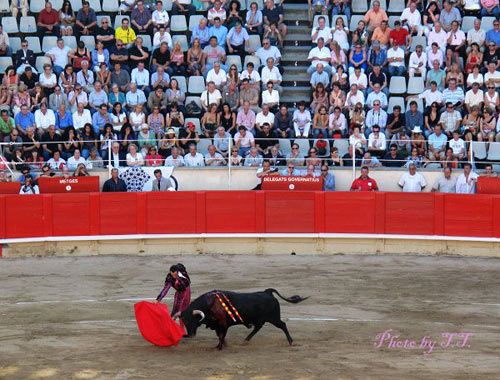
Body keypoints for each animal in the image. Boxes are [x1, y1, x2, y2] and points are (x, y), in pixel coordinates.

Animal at [178, 288, 306, 350]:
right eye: (184, 321)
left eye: (192, 320)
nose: (190, 335)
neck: (209, 304)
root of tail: (267, 292)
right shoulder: (217, 325)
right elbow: (219, 336)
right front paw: (223, 345)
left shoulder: (223, 324)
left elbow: (221, 336)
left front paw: (220, 347)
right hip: (262, 319)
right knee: (258, 327)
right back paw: (246, 340)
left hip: (274, 318)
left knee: (283, 325)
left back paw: (290, 341)